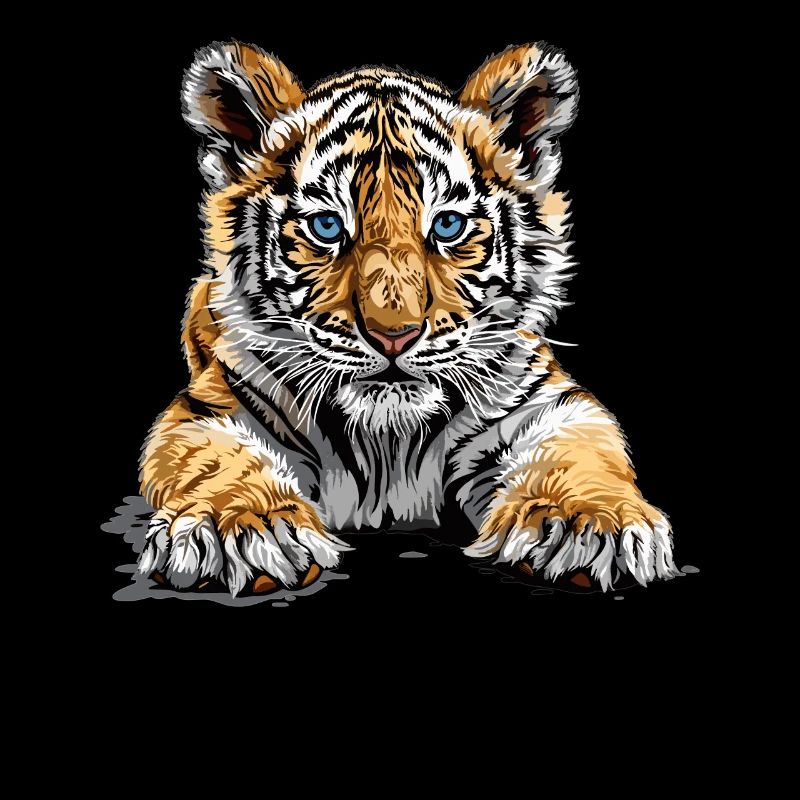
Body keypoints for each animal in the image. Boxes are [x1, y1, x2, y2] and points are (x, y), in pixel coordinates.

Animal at [136, 40, 679, 596]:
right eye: (327, 227)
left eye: (448, 225)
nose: (393, 336)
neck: (387, 442)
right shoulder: (213, 408)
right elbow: (218, 463)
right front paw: (239, 528)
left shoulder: (546, 405)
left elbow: (580, 454)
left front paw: (590, 524)